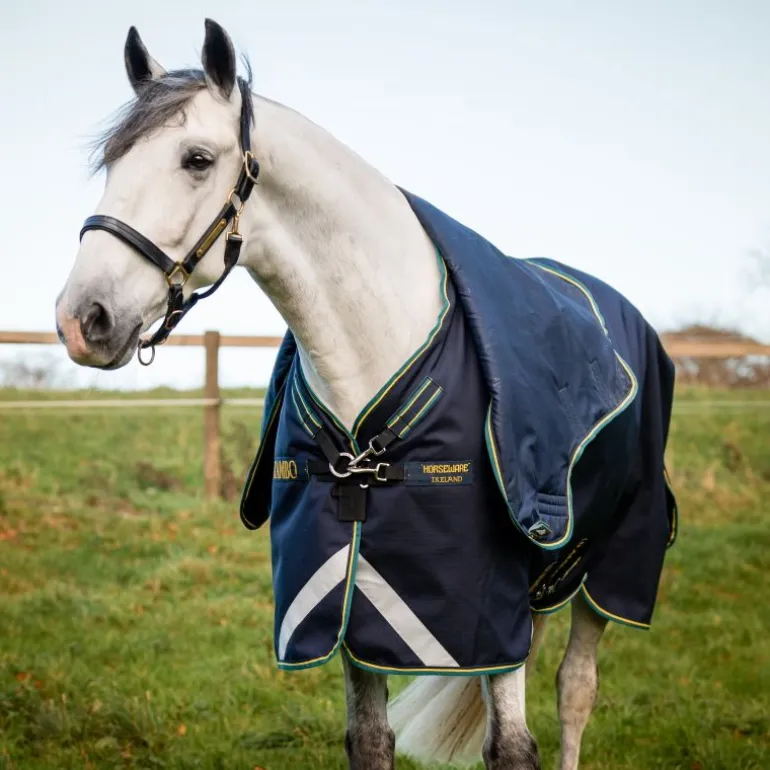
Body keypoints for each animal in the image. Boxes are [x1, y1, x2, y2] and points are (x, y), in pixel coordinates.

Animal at [55, 20, 677, 770]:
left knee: (576, 690)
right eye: (112, 164)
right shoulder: (355, 594)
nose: (82, 319)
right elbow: (371, 738)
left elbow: (513, 747)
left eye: (196, 159)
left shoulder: (483, 605)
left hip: (610, 562)